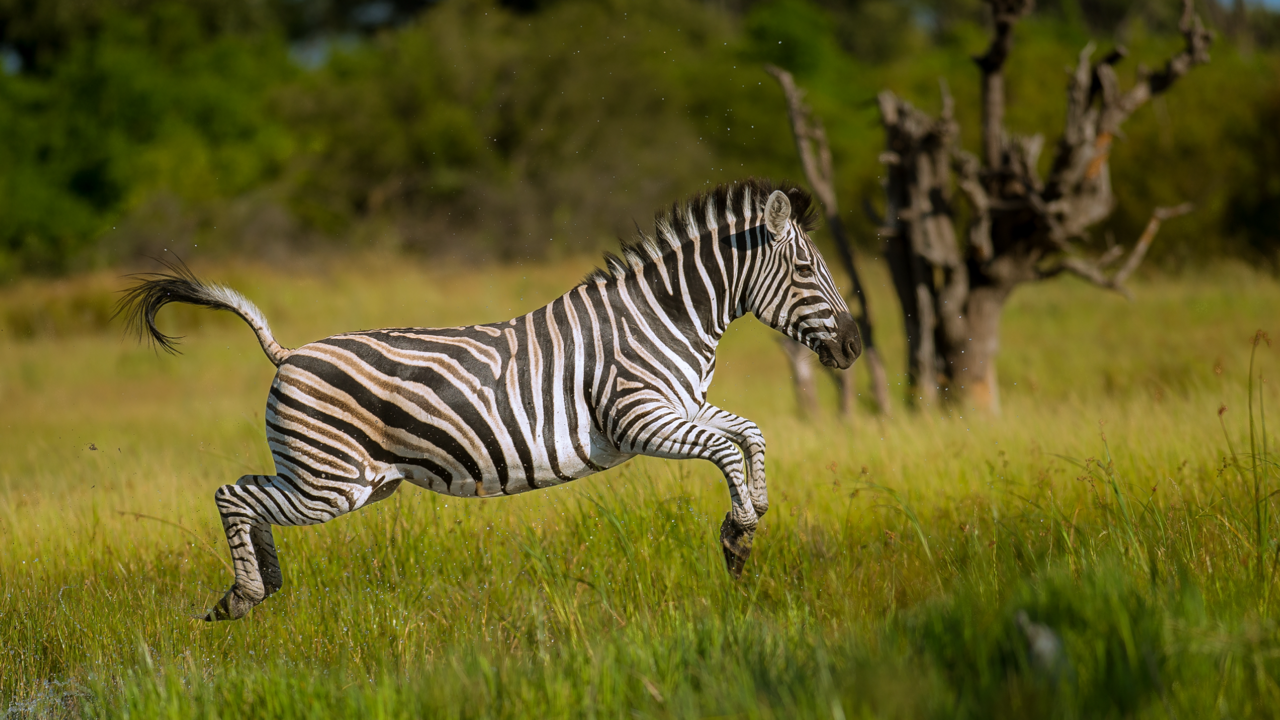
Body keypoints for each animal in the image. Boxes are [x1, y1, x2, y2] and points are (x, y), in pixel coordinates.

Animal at [119, 179, 861, 621]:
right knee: (233, 494)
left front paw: (753, 511)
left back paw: (259, 589)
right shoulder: (639, 418)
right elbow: (724, 449)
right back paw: (244, 594)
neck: (666, 317)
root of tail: (288, 352)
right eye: (806, 270)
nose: (855, 346)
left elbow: (749, 432)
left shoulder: (679, 406)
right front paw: (738, 536)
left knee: (248, 496)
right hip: (331, 481)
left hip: (350, 482)